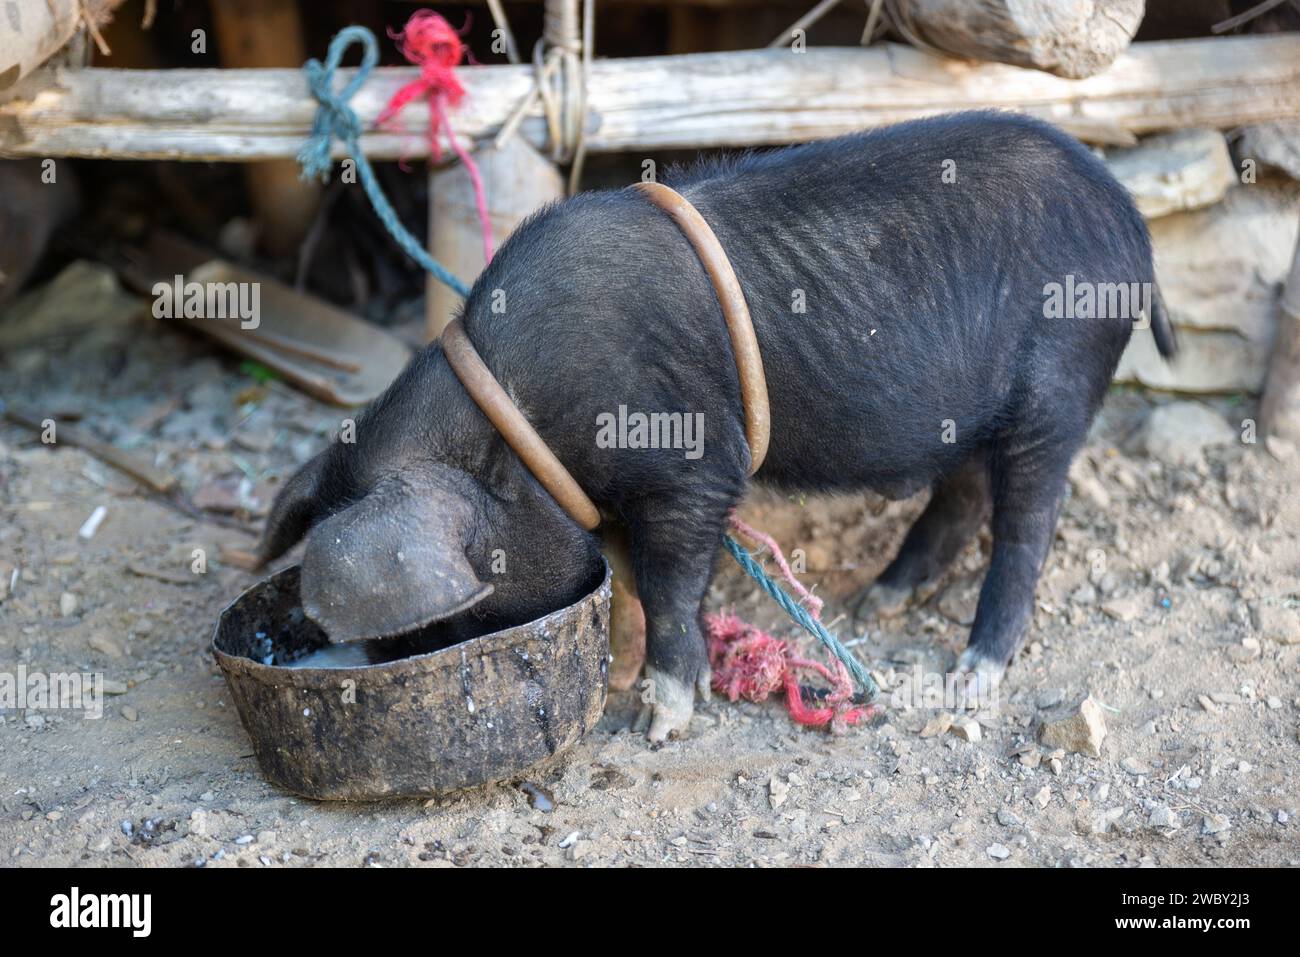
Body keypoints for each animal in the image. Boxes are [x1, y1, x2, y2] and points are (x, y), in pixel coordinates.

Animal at [261, 111, 1180, 738]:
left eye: (452, 615)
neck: (519, 420)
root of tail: (1133, 225)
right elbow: (646, 581)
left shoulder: (691, 466)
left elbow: (670, 582)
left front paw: (659, 718)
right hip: (971, 409)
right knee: (963, 492)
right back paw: (880, 598)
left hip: (1059, 375)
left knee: (1030, 518)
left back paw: (970, 675)